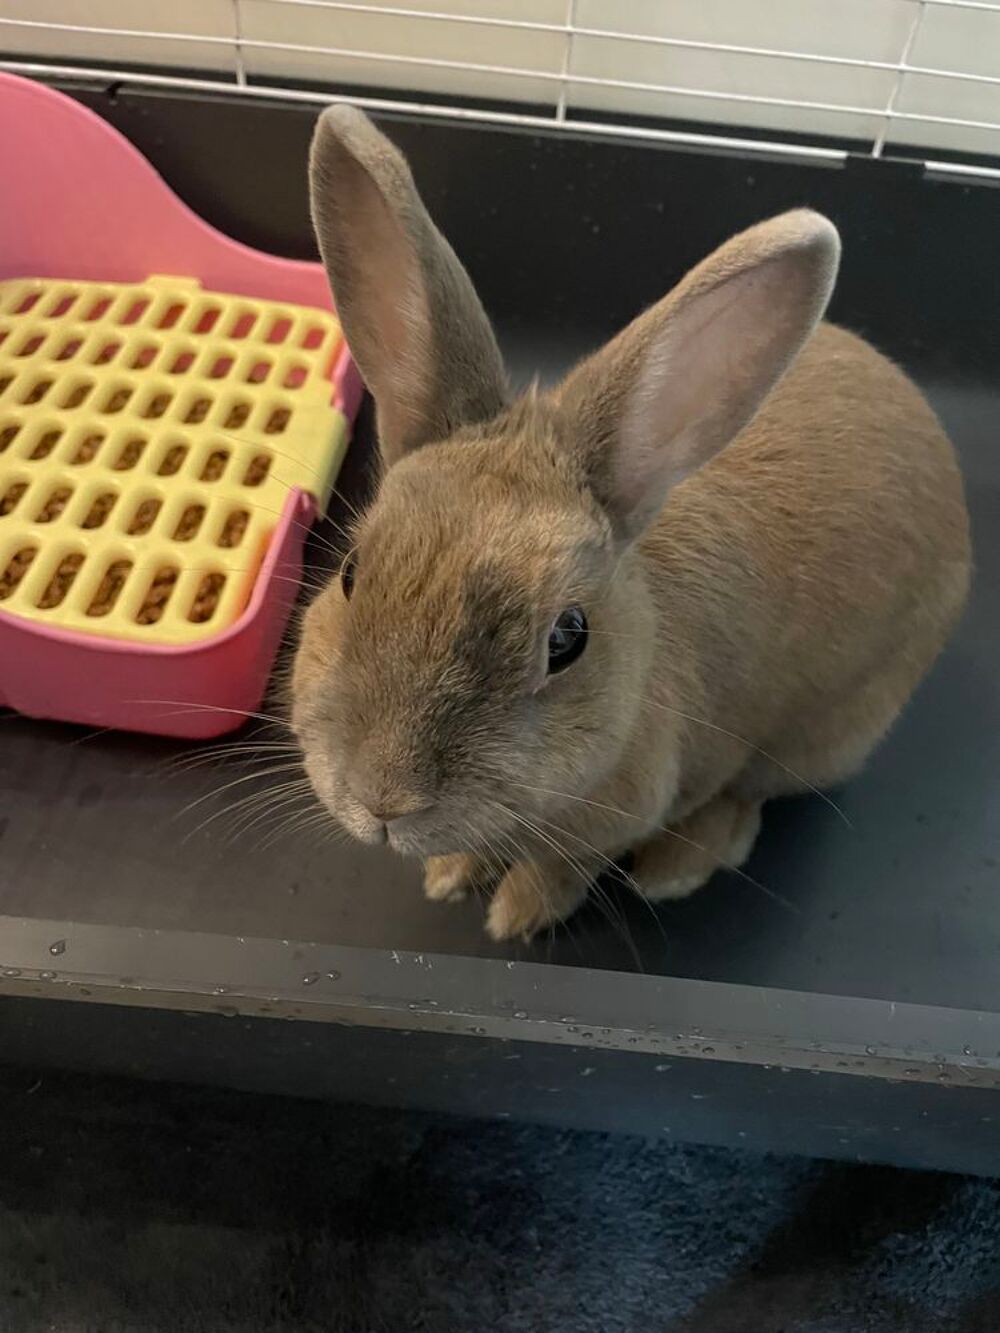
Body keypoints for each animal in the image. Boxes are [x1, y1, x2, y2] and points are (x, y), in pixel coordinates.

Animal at [292, 104, 971, 942]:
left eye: (567, 638)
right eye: (351, 573)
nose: (385, 800)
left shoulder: (607, 822)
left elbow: (561, 868)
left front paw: (513, 916)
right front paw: (449, 874)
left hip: (826, 731)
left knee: (748, 795)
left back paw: (675, 869)